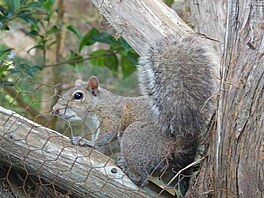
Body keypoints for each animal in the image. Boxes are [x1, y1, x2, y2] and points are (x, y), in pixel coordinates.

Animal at [52, 35, 219, 193]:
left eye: (78, 96)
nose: (55, 109)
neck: (97, 105)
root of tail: (177, 145)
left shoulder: (111, 115)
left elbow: (105, 135)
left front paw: (87, 142)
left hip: (135, 136)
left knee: (142, 179)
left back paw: (127, 167)